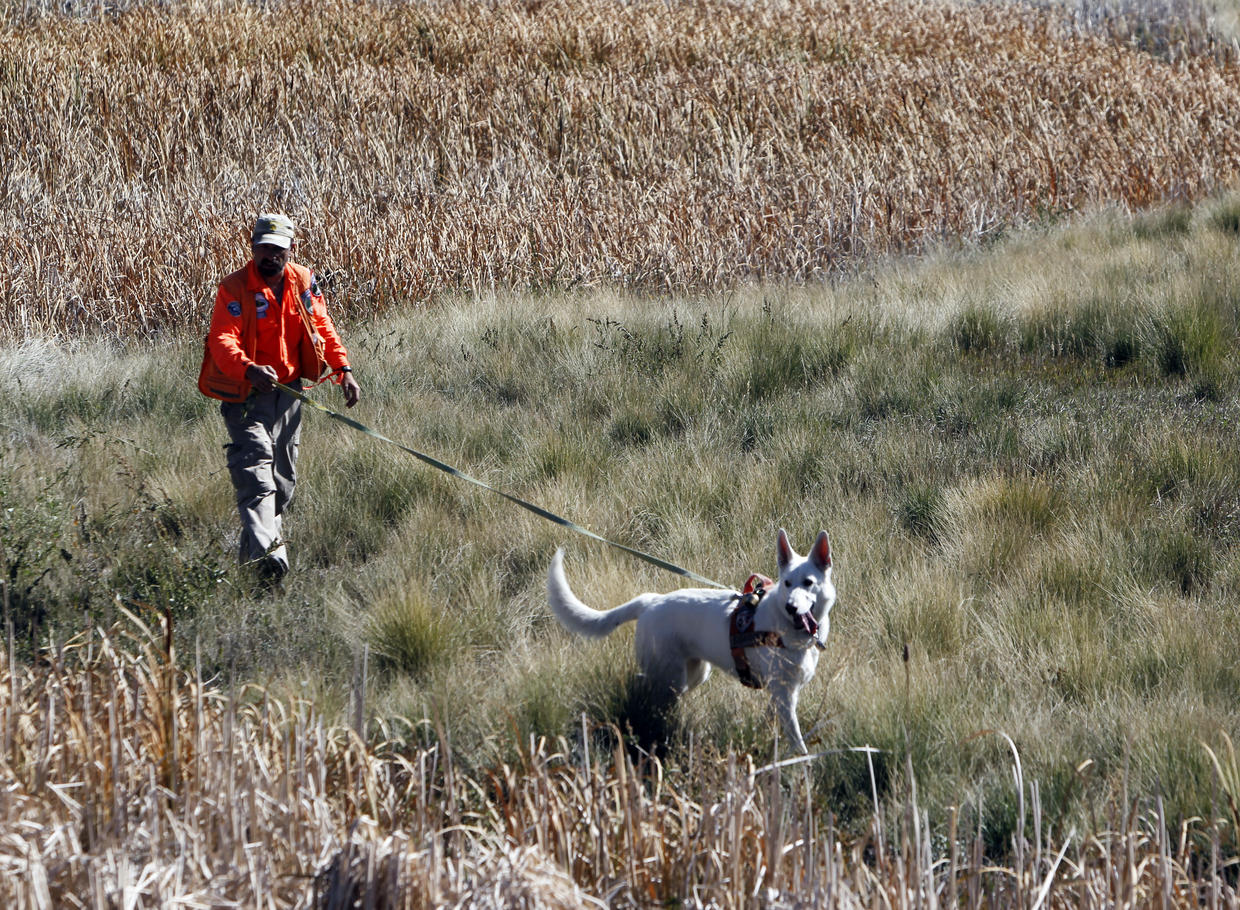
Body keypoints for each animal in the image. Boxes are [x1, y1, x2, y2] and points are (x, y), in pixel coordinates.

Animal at [543, 530, 833, 753]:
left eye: (808, 582)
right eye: (787, 583)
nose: (792, 607)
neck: (788, 629)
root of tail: (650, 601)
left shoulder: (782, 693)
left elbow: (770, 722)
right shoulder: (784, 695)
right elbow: (797, 740)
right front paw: (802, 765)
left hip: (691, 675)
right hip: (667, 675)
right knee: (642, 690)